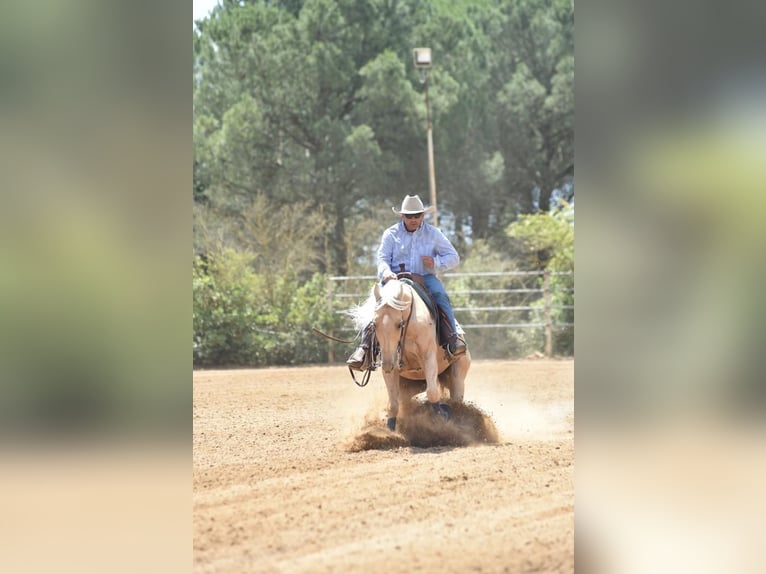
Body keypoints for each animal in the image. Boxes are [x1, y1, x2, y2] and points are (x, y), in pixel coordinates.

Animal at [351, 278, 471, 432]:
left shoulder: (428, 357)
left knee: (454, 399)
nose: (388, 365)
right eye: (374, 324)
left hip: (458, 375)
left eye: (399, 324)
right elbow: (393, 403)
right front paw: (390, 430)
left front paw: (442, 415)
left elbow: (432, 393)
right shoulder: (390, 362)